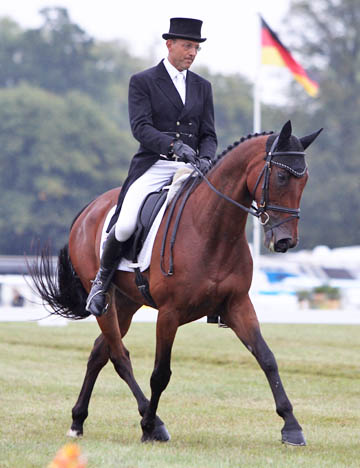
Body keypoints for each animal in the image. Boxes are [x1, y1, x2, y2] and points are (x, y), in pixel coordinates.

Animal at [31, 119, 322, 446]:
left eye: (304, 180)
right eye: (282, 176)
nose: (285, 241)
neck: (212, 230)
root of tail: (90, 208)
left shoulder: (237, 305)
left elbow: (267, 358)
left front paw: (291, 426)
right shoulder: (169, 314)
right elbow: (160, 373)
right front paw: (147, 427)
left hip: (126, 303)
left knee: (98, 353)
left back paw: (78, 421)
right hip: (106, 302)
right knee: (119, 356)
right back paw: (152, 422)